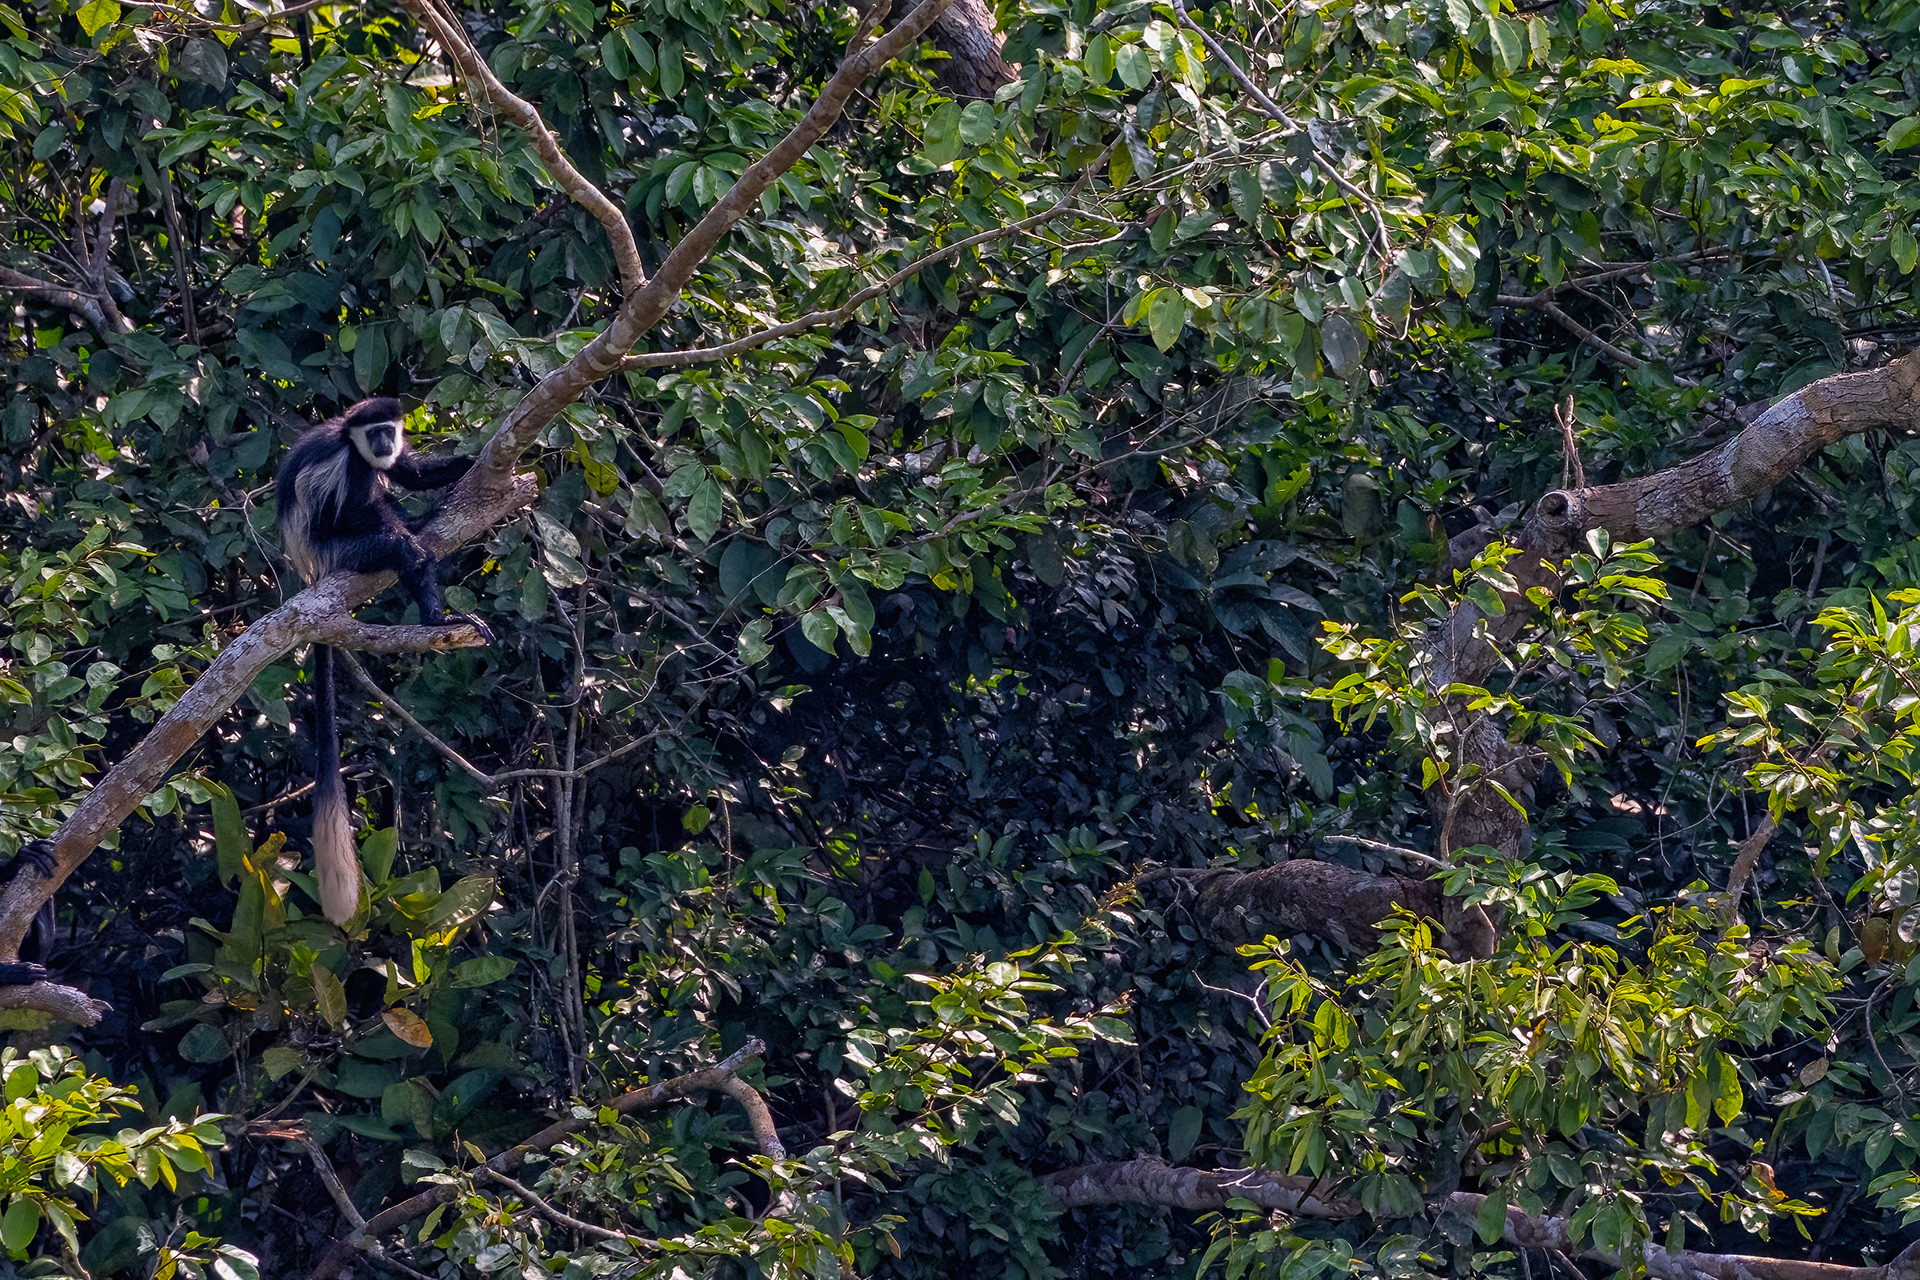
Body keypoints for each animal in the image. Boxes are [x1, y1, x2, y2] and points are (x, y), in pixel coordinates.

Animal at [276, 397, 491, 925]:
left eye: (390, 430)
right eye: (373, 432)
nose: (383, 443)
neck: (351, 443)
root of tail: (312, 571)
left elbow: (409, 473)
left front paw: (470, 460)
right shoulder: (345, 468)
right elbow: (353, 510)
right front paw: (407, 524)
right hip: (340, 551)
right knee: (388, 541)